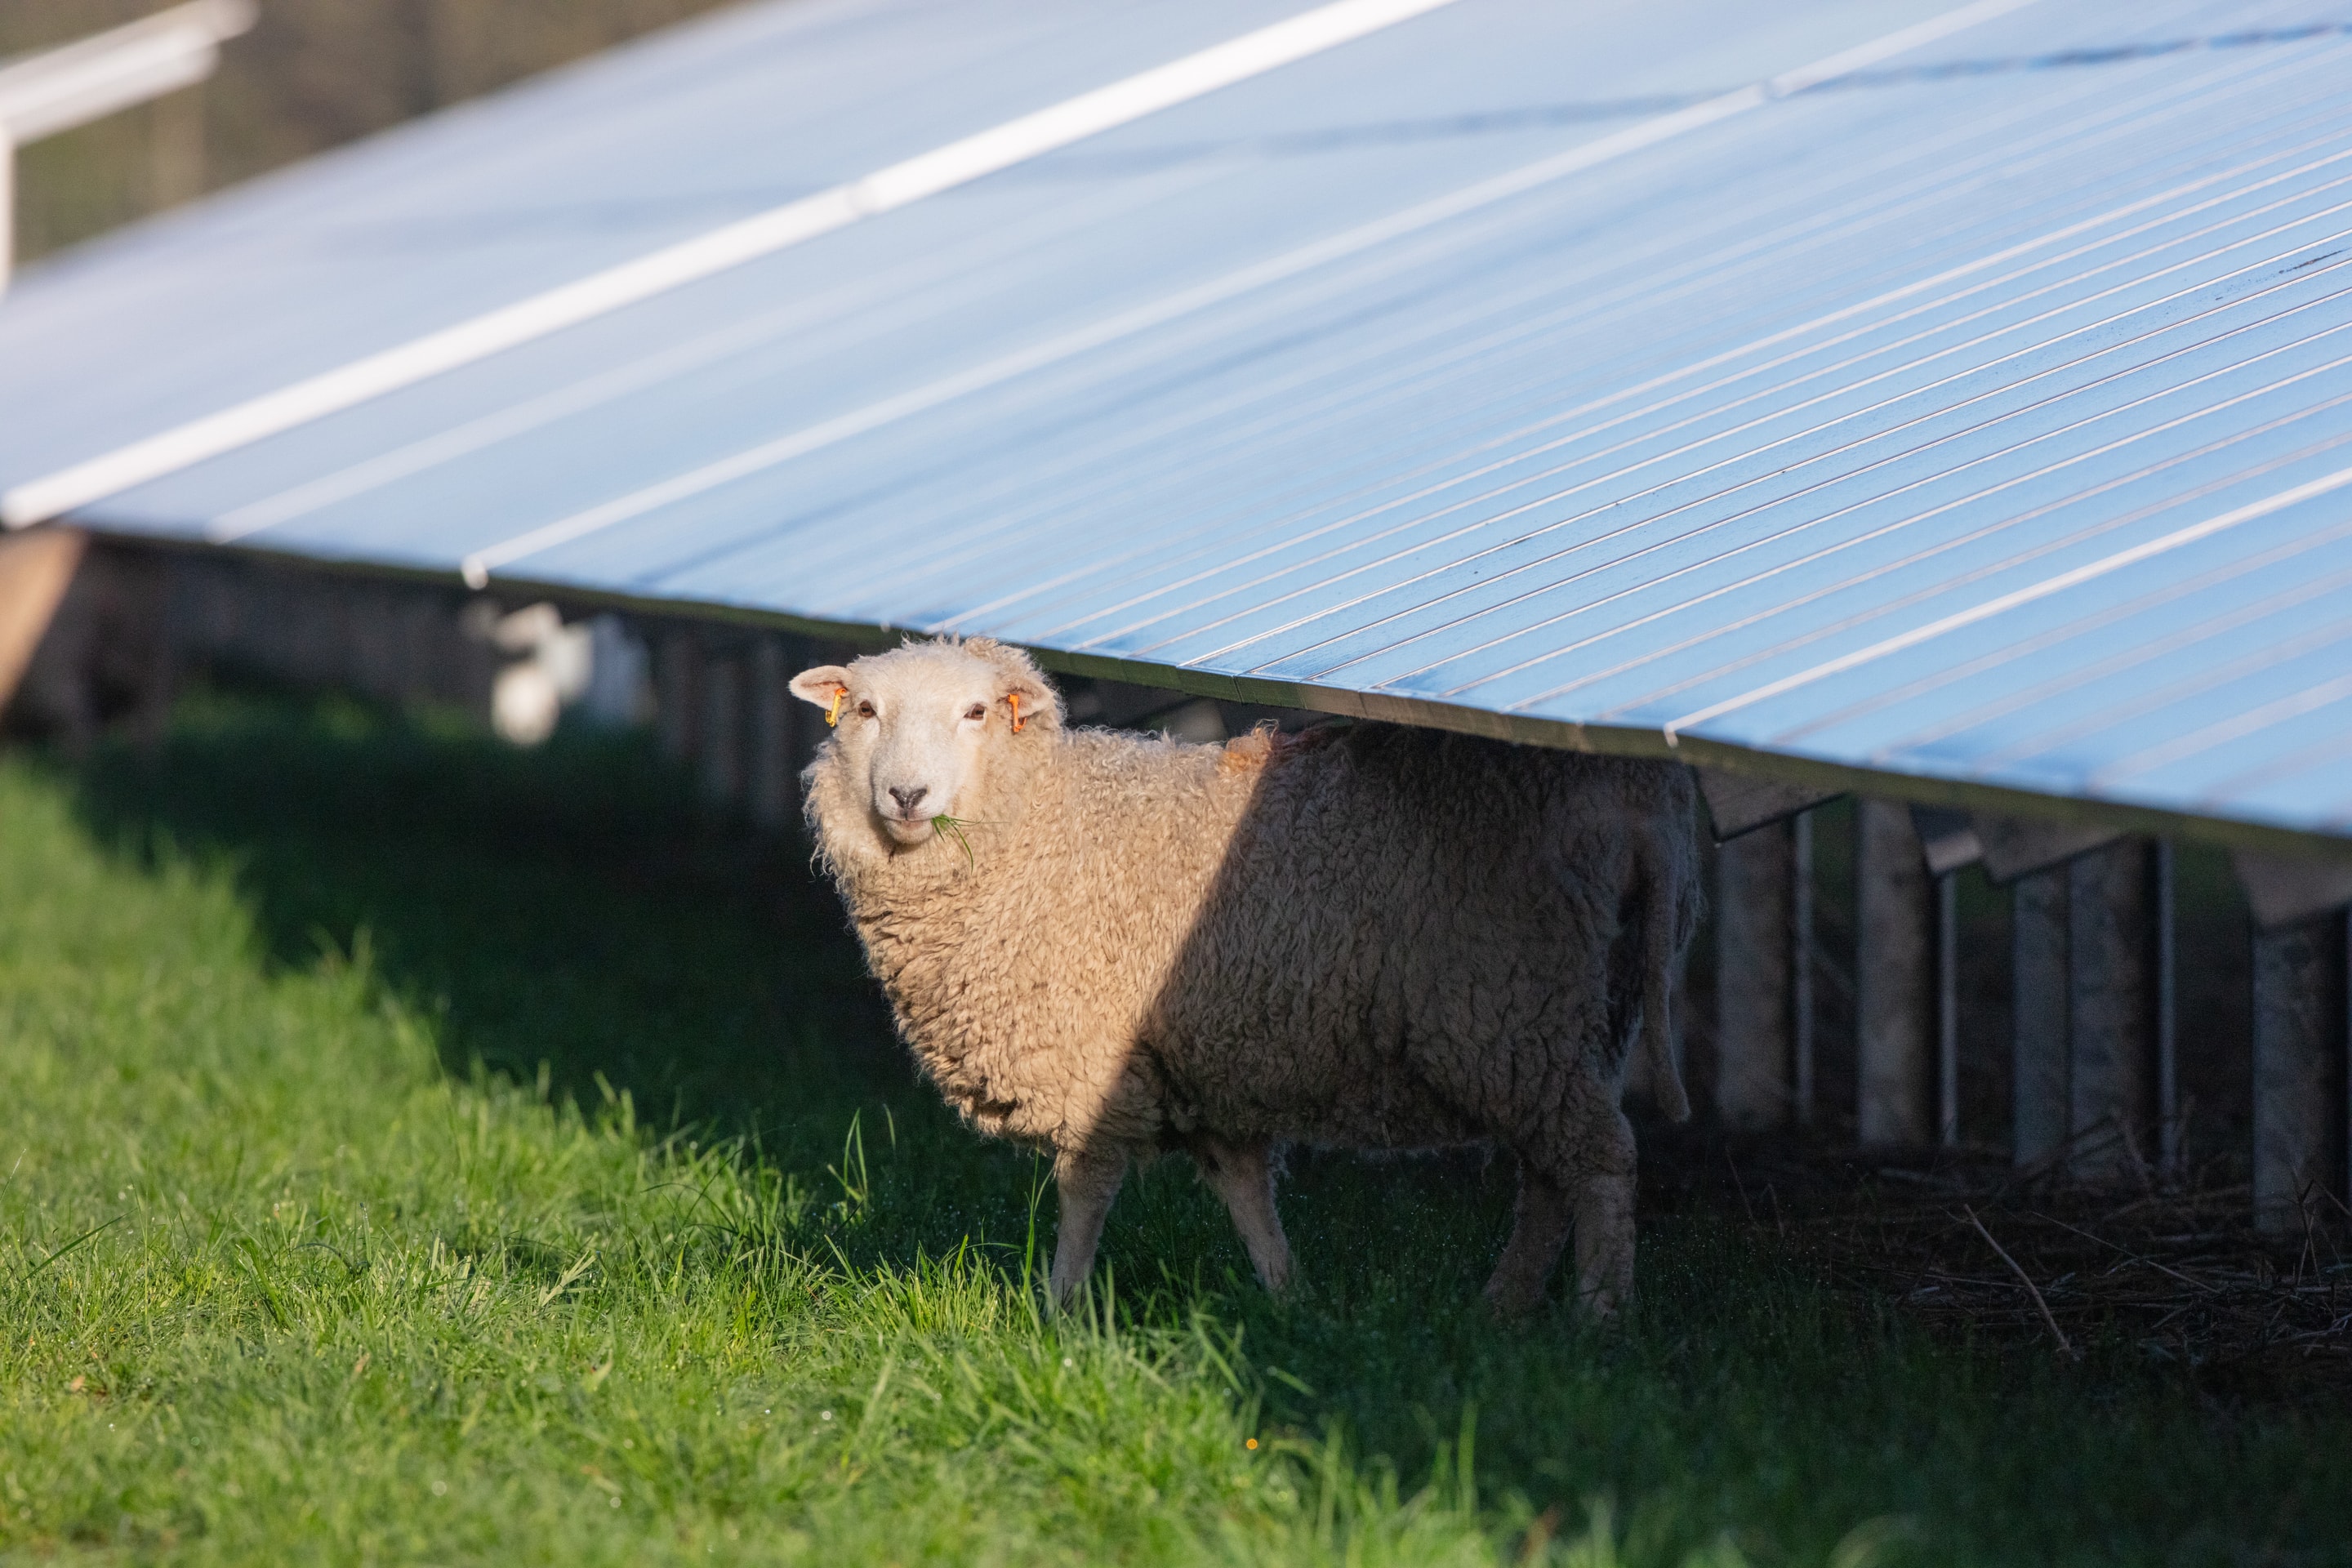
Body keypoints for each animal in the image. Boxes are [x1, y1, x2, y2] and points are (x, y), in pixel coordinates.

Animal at [790, 635, 1693, 1316]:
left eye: (976, 713)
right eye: (864, 711)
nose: (907, 794)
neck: (1043, 822)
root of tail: (1637, 793)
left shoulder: (1095, 1062)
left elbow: (1086, 1194)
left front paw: (1059, 1313)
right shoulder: (1200, 1064)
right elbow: (1247, 1195)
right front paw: (1291, 1301)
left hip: (1511, 1009)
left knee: (1600, 1160)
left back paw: (1596, 1321)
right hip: (1580, 1012)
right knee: (1550, 1173)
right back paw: (1504, 1309)